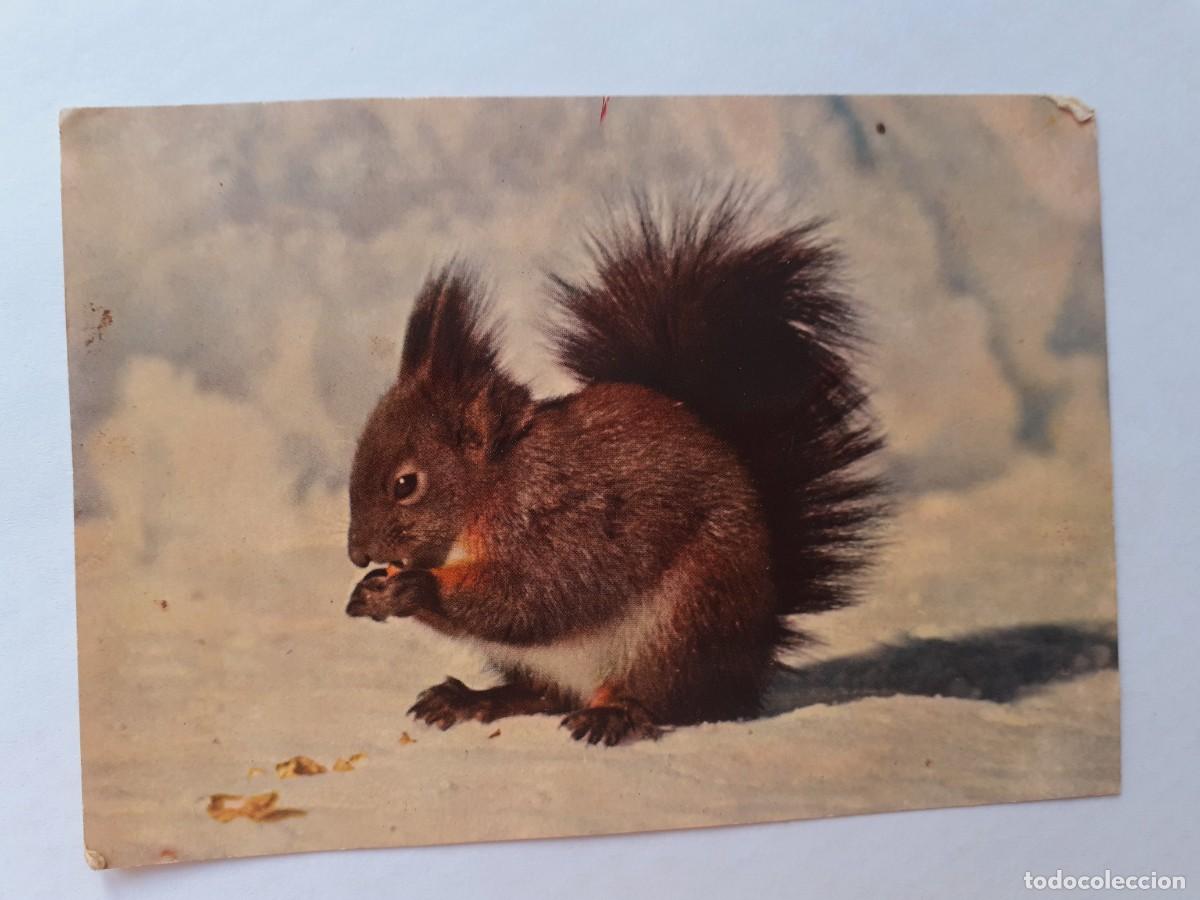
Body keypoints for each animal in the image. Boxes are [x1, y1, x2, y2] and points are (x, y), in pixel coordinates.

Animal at [345, 189, 886, 745]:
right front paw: (368, 595)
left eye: (405, 484)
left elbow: (532, 596)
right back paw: (472, 699)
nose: (357, 554)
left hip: (679, 627)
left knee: (667, 701)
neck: (494, 486)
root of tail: (749, 665)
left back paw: (615, 714)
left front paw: (414, 589)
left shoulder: (564, 525)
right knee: (545, 694)